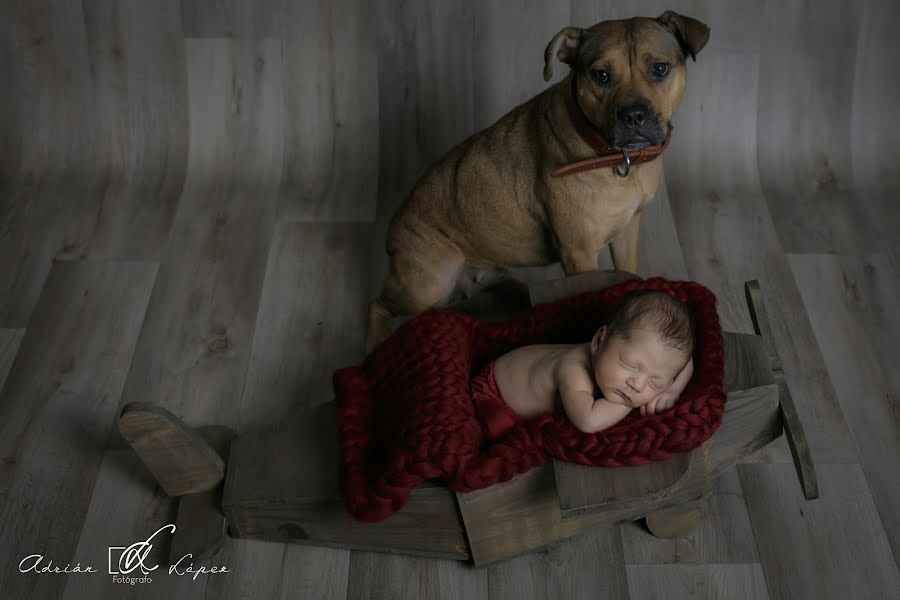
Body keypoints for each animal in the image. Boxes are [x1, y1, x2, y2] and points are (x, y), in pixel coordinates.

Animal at [370, 11, 708, 350]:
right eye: (600, 75)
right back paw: (377, 341)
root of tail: (390, 232)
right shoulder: (579, 253)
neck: (616, 158)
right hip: (427, 285)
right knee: (377, 305)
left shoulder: (627, 229)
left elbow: (627, 268)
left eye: (659, 69)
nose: (633, 115)